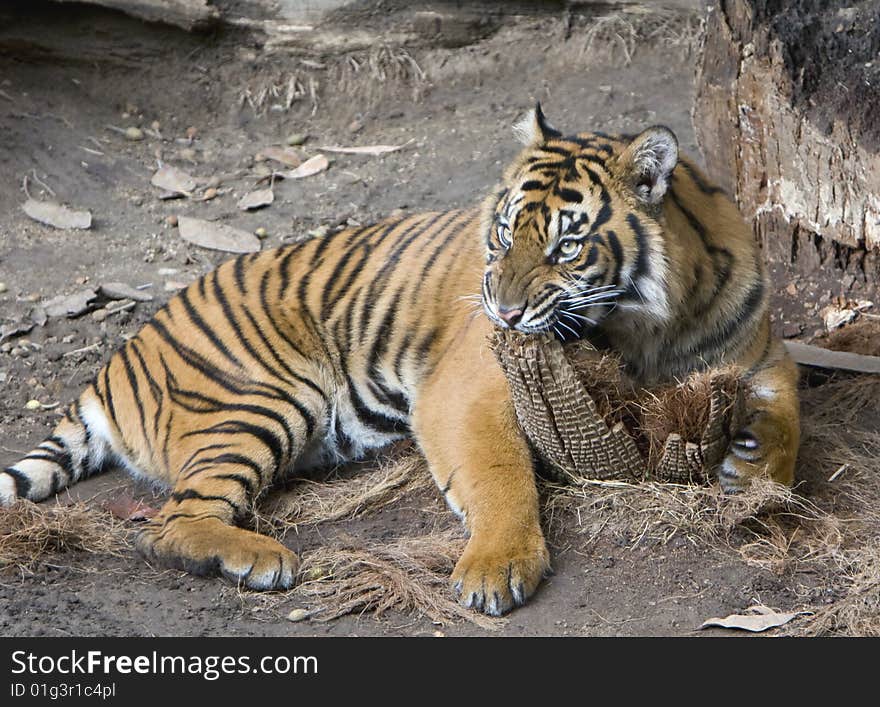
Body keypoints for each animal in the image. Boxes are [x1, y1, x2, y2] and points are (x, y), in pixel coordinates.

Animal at [1, 103, 796, 612]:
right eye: (503, 234)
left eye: (567, 246)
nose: (504, 312)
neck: (647, 325)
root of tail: (115, 360)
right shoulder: (470, 386)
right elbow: (502, 476)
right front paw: (497, 566)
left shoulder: (763, 351)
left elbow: (788, 418)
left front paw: (755, 469)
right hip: (263, 398)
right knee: (168, 524)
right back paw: (261, 560)